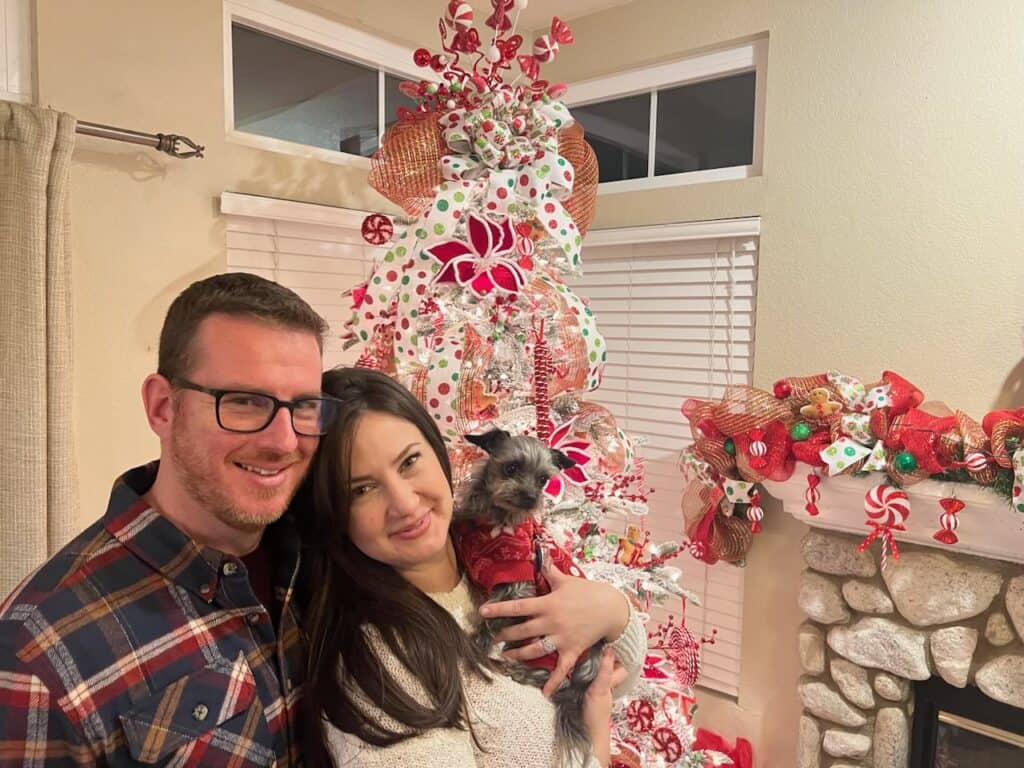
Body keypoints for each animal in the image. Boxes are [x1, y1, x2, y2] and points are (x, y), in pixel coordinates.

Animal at [452, 430, 602, 765]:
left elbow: (488, 618)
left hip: (548, 654)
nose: (531, 499)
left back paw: (516, 670)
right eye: (511, 468)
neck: (493, 521)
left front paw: (475, 646)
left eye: (544, 479)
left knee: (550, 681)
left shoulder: (516, 587)